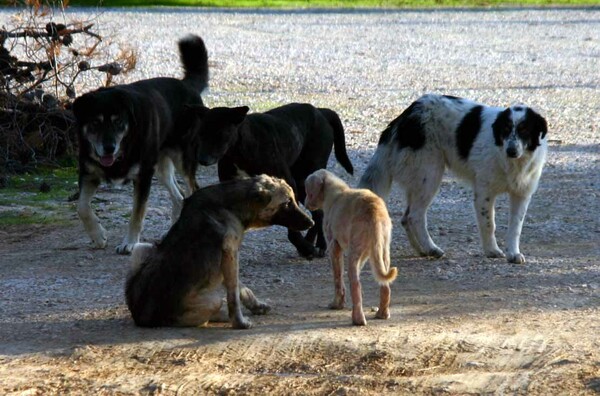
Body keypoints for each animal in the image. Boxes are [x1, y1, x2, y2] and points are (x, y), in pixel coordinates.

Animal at [73, 35, 209, 255]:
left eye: (118, 122)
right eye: (95, 123)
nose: (109, 148)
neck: (123, 148)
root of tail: (187, 85)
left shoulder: (143, 176)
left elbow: (137, 214)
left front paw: (129, 243)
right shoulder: (88, 173)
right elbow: (82, 207)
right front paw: (98, 236)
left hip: (182, 159)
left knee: (192, 189)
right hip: (161, 166)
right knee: (179, 197)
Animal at [126, 175, 314, 330]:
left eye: (294, 200)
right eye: (287, 203)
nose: (311, 222)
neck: (231, 205)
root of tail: (141, 317)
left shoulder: (228, 259)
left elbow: (242, 288)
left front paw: (256, 306)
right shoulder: (230, 254)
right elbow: (233, 294)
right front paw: (239, 322)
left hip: (141, 248)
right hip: (211, 301)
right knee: (203, 316)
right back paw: (221, 316)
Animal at [188, 101, 354, 260]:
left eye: (220, 134)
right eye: (200, 134)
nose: (201, 159)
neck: (239, 149)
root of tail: (321, 111)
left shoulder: (288, 184)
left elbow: (292, 226)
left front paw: (304, 247)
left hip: (306, 176)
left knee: (319, 212)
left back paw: (320, 245)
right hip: (302, 183)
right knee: (316, 212)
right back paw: (310, 241)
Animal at [304, 169, 398, 326]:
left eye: (307, 191)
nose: (305, 204)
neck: (335, 192)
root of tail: (374, 210)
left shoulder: (334, 247)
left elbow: (338, 279)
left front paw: (337, 304)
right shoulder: (365, 254)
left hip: (354, 252)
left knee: (355, 284)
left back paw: (358, 319)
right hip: (383, 251)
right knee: (384, 285)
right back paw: (382, 314)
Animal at [358, 94, 552, 264]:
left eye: (524, 130)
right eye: (505, 129)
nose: (511, 150)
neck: (512, 162)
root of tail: (407, 114)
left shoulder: (521, 195)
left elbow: (515, 227)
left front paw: (513, 253)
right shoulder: (484, 193)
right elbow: (489, 224)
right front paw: (492, 250)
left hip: (419, 180)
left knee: (405, 218)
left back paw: (421, 250)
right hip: (430, 174)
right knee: (415, 216)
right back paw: (431, 248)